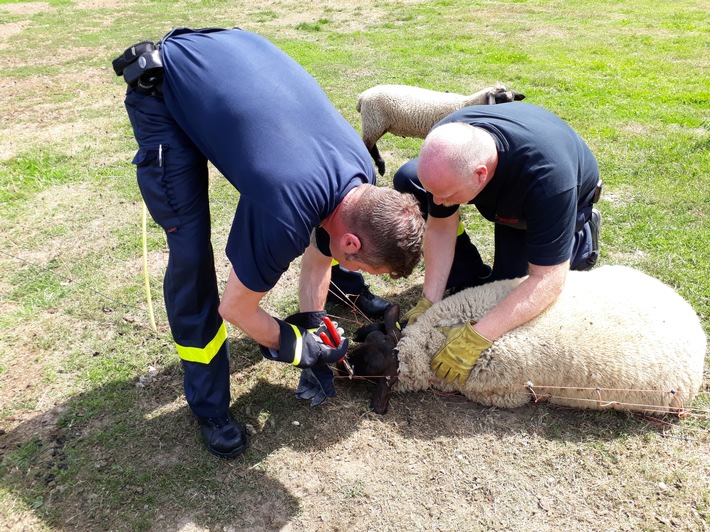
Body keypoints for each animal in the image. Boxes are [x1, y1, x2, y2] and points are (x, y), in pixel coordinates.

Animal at [356, 83, 528, 175]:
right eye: (500, 100)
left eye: (513, 99)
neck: (468, 103)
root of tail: (362, 97)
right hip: (374, 122)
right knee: (368, 145)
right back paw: (381, 166)